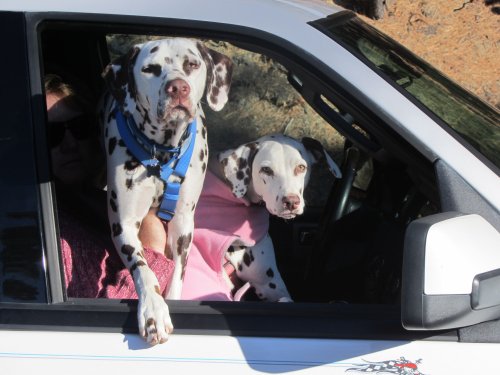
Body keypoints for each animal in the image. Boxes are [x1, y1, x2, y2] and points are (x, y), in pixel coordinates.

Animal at [102, 39, 234, 346]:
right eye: (150, 69)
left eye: (192, 64)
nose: (178, 88)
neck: (161, 153)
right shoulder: (124, 226)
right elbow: (144, 269)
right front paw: (153, 310)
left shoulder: (184, 225)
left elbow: (177, 273)